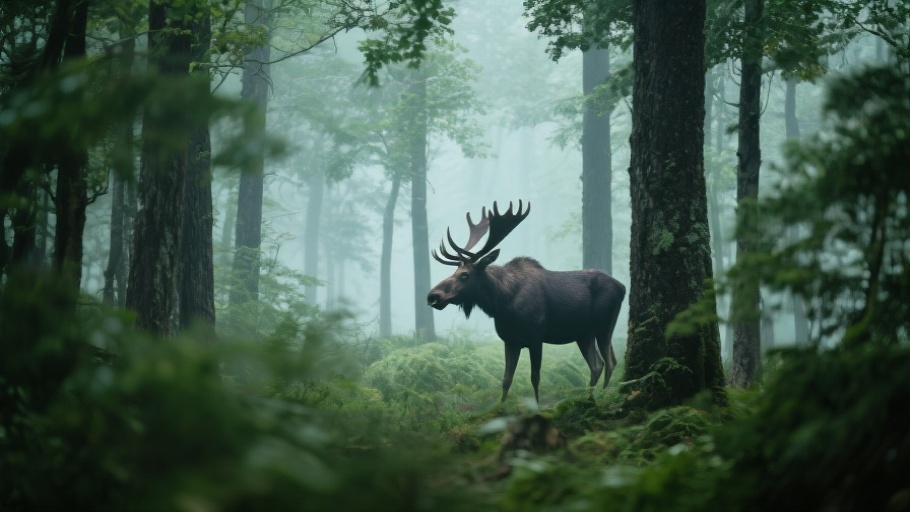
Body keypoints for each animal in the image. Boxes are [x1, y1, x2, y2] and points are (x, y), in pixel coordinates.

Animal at [427, 200, 626, 404]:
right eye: (454, 272)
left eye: (465, 275)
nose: (433, 296)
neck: (502, 304)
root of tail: (623, 287)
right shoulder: (510, 340)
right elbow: (506, 379)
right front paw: (500, 407)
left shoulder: (536, 337)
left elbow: (535, 377)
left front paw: (537, 406)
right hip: (584, 334)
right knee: (597, 365)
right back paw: (588, 398)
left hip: (604, 326)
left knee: (611, 361)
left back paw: (602, 397)